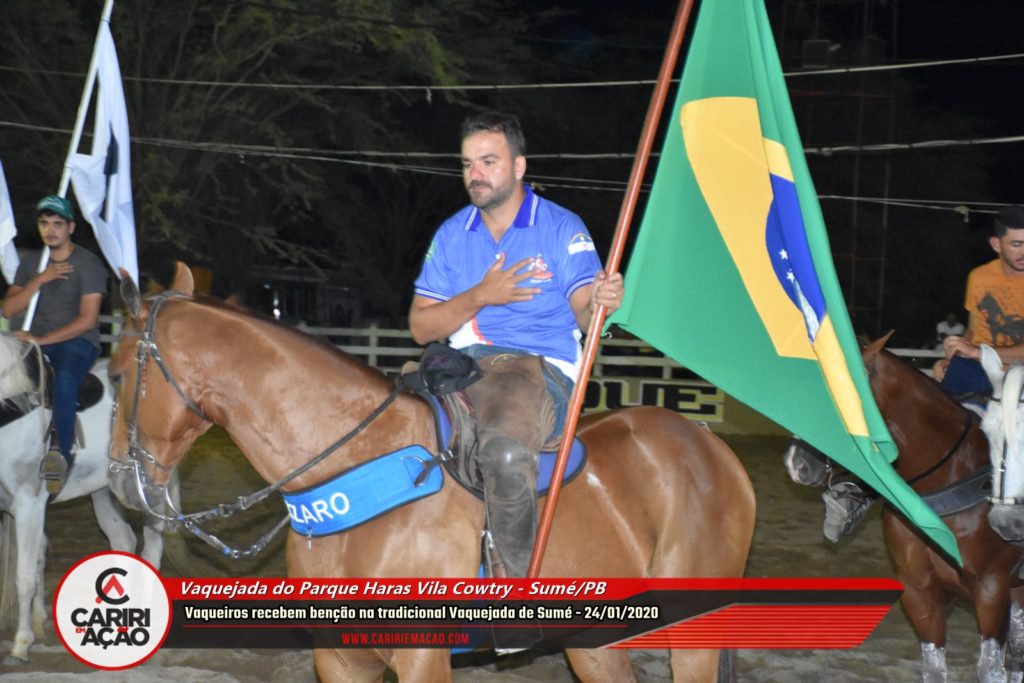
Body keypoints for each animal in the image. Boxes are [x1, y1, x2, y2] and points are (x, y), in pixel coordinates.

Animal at [0, 333, 172, 665]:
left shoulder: (28, 505)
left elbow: (24, 575)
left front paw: (21, 644)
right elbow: (37, 559)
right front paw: (38, 622)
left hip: (150, 490)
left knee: (152, 547)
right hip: (104, 491)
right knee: (123, 540)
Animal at [103, 263, 756, 683]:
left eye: (115, 373)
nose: (118, 481)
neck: (357, 468)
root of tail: (707, 443)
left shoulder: (420, 656)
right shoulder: (339, 659)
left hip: (691, 633)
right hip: (596, 643)